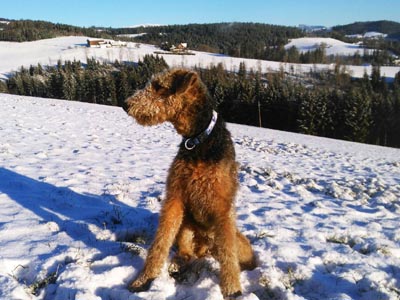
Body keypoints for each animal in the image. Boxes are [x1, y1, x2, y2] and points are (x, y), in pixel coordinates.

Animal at [123, 68, 256, 298]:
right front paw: (144, 279)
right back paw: (178, 264)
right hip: (185, 230)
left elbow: (229, 258)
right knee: (187, 254)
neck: (199, 140)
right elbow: (160, 243)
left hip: (236, 241)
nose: (126, 104)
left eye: (158, 86)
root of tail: (205, 245)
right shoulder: (175, 197)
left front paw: (233, 291)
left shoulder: (223, 208)